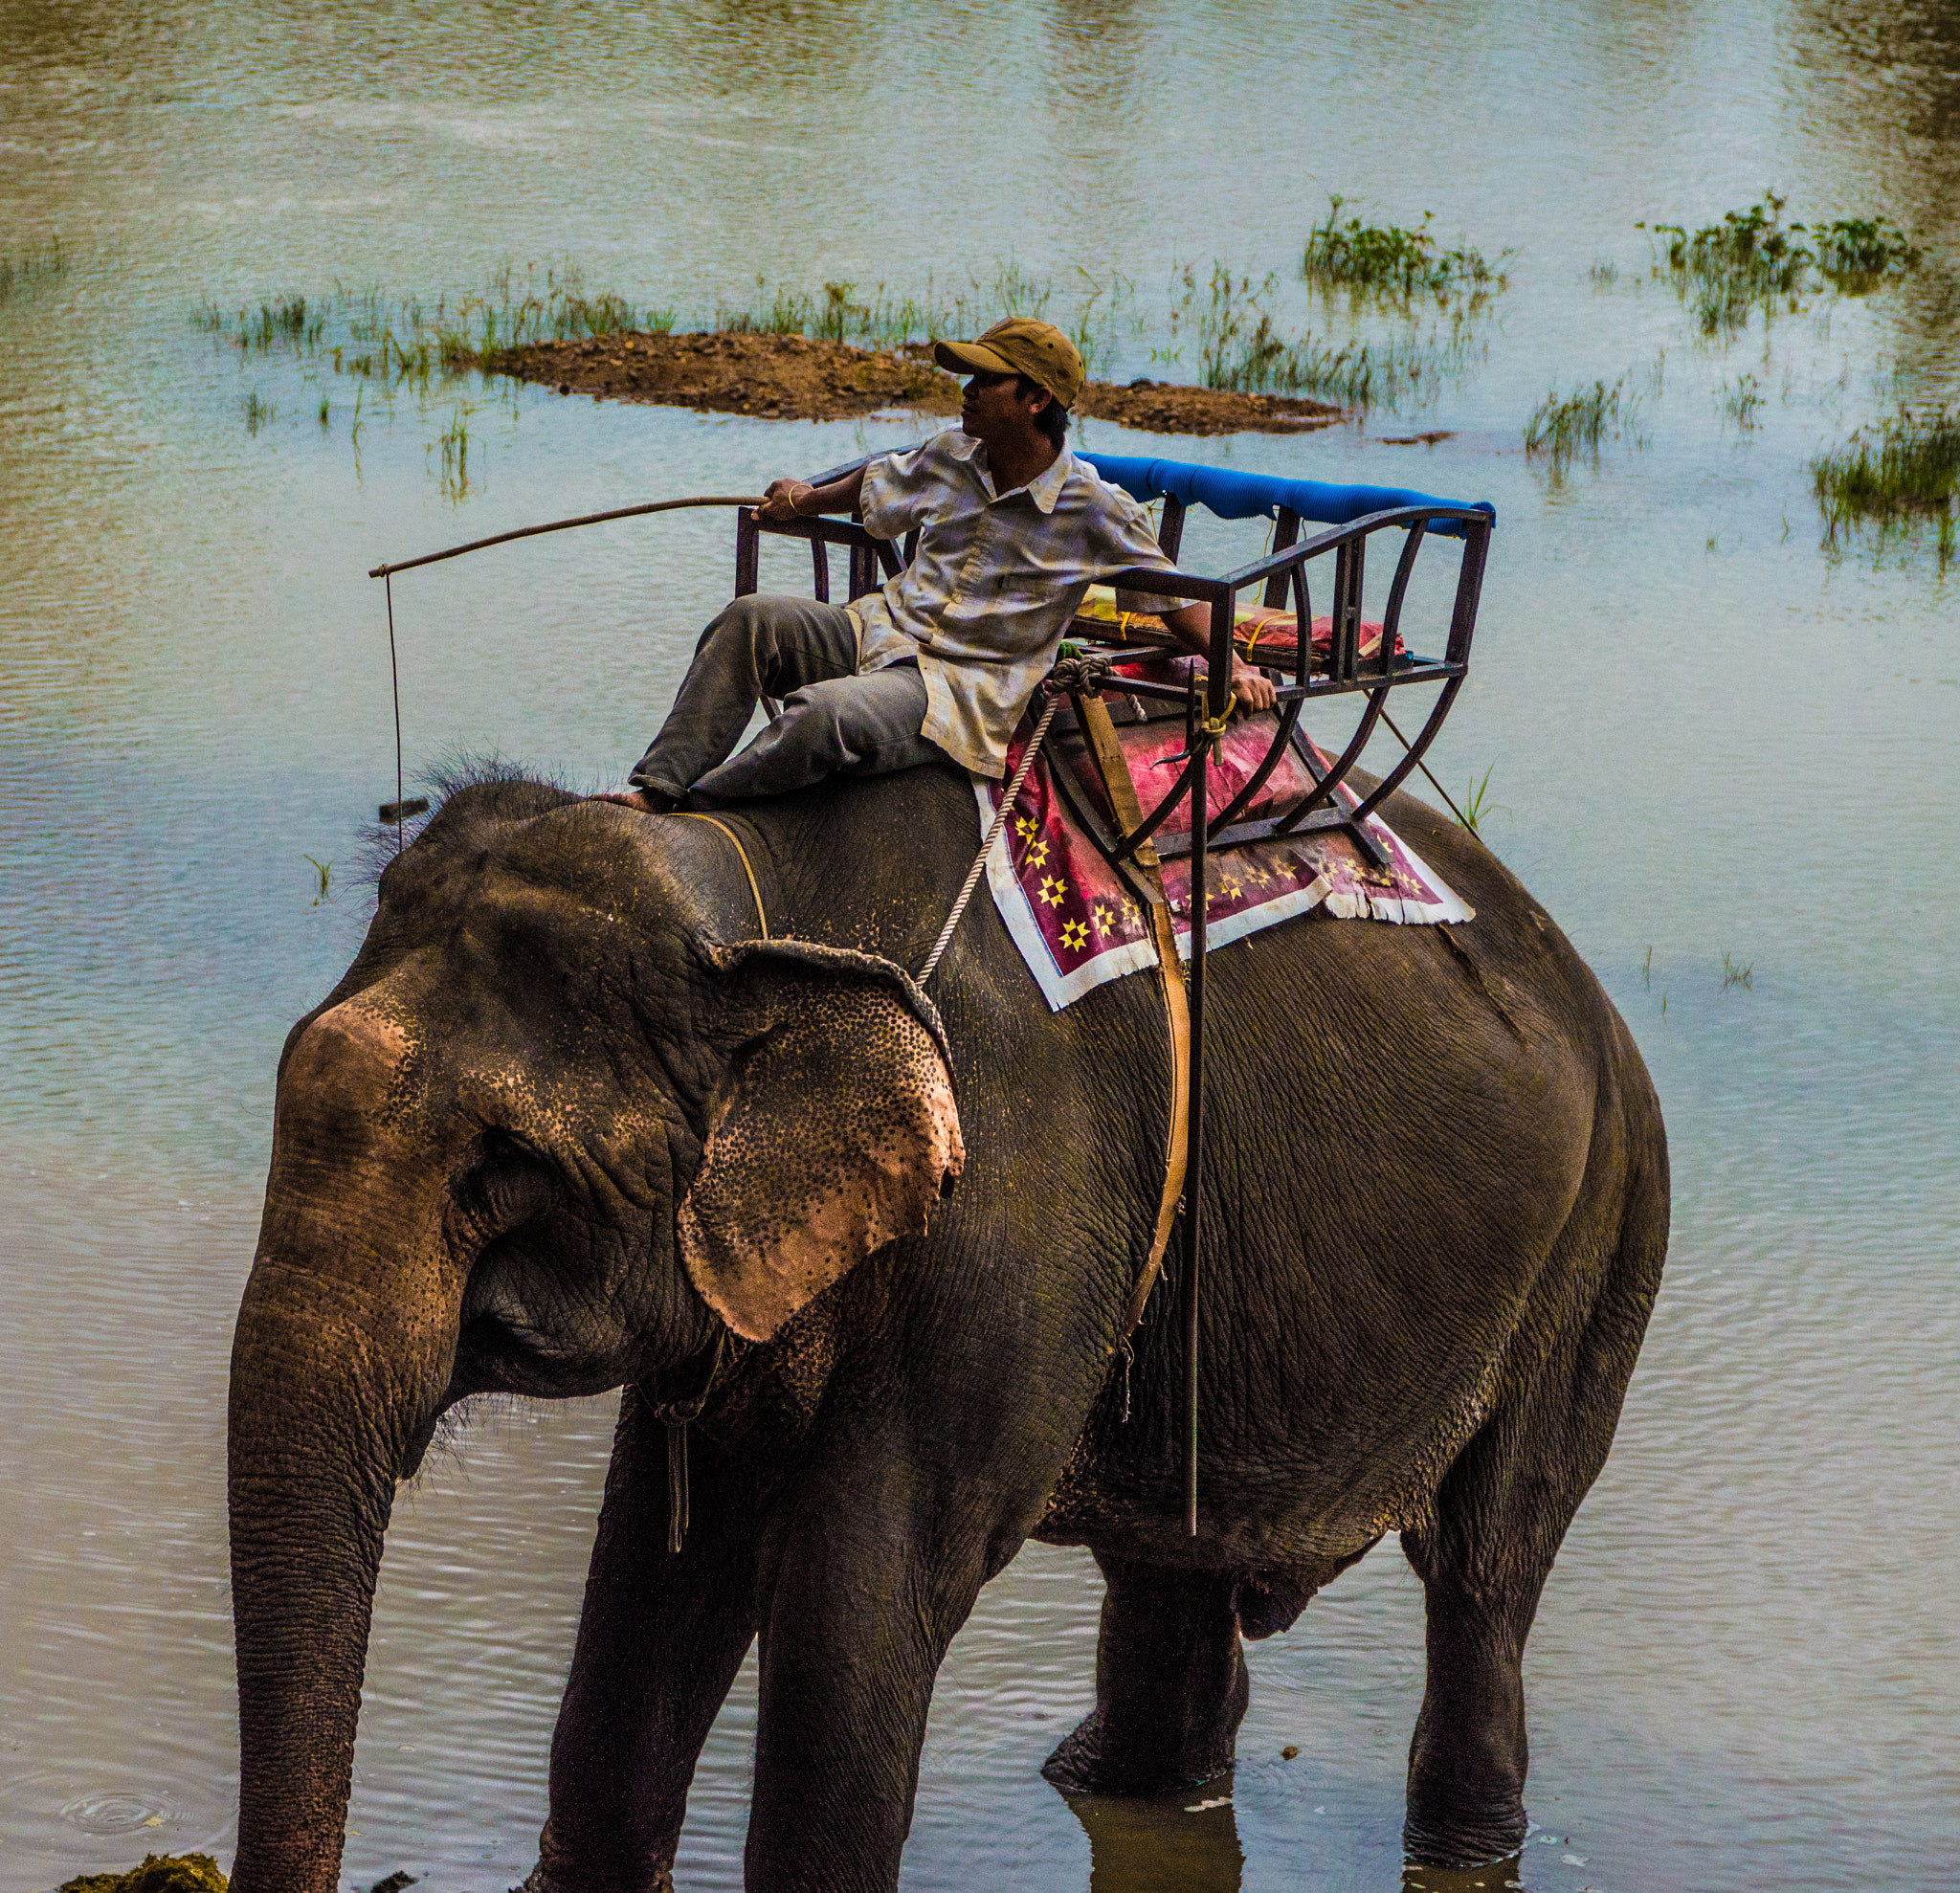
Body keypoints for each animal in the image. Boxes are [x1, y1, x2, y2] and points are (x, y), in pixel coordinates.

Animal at [226, 757, 1668, 1893]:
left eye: (502, 1166)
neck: (752, 888)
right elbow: (654, 1566)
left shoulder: (1014, 1205)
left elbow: (861, 1589)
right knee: (1175, 1577)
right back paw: (1118, 1782)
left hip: (1600, 1241)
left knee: (1482, 1571)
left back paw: (1460, 1829)